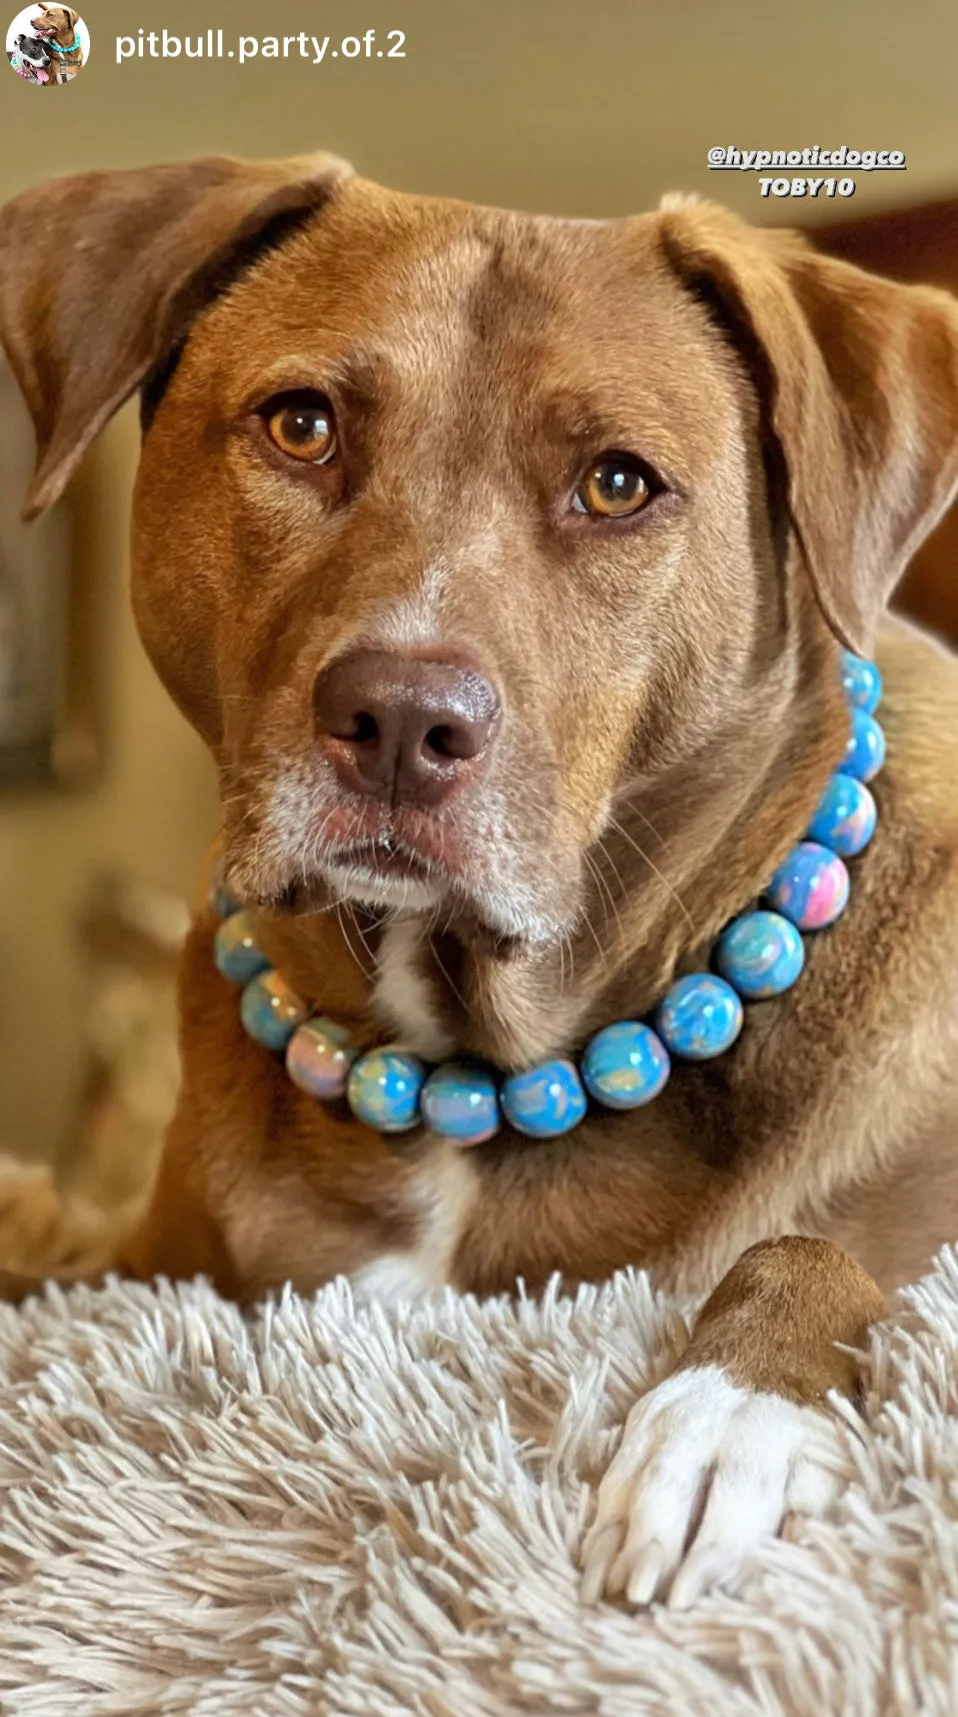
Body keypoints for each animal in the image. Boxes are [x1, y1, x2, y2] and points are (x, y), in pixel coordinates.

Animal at [1, 154, 958, 1613]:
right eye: (301, 425)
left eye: (617, 484)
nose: (402, 719)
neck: (473, 1070)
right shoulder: (135, 1267)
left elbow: (819, 1246)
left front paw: (729, 1415)